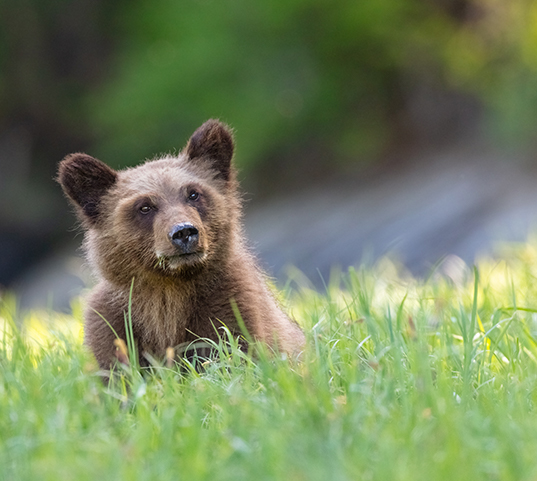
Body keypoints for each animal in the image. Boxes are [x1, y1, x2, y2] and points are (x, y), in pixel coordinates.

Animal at [58, 119, 306, 368]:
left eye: (193, 194)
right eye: (145, 206)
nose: (184, 232)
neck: (170, 288)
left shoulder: (231, 307)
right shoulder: (116, 327)